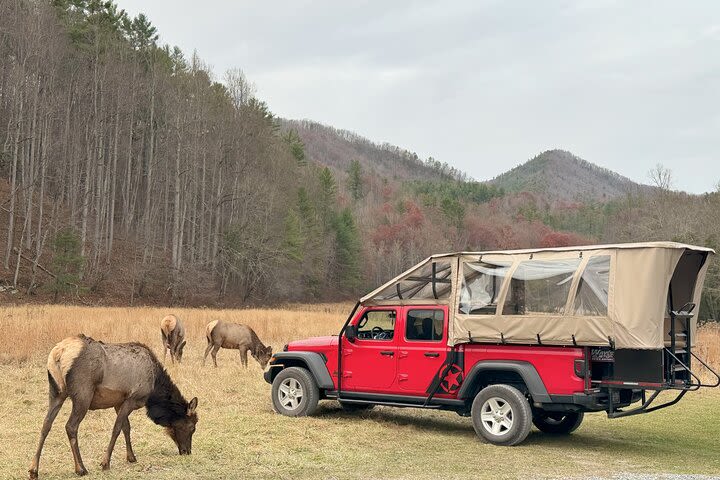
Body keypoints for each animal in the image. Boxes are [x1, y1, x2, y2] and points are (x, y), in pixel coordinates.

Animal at [29, 334, 198, 480]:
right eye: (192, 427)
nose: (187, 451)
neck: (154, 389)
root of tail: (58, 353)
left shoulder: (119, 402)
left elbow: (126, 428)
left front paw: (131, 457)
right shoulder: (132, 398)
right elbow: (117, 429)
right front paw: (105, 463)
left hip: (56, 392)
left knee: (46, 424)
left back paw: (33, 470)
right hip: (83, 394)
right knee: (70, 426)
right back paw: (81, 468)